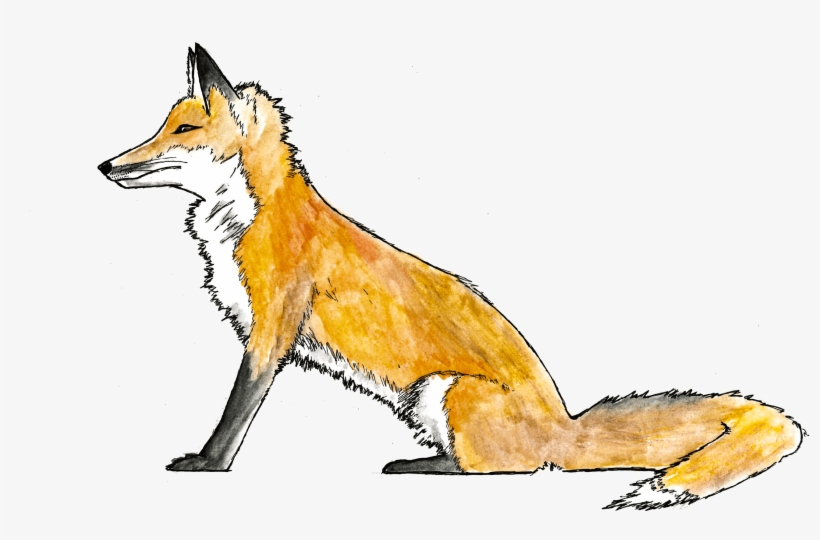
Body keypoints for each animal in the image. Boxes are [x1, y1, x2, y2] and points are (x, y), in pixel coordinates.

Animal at [98, 44, 803, 509]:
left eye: (183, 129)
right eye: (161, 125)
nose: (106, 165)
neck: (246, 216)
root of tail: (566, 424)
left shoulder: (272, 329)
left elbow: (234, 413)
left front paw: (207, 466)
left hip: (446, 392)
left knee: (507, 472)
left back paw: (421, 469)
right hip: (426, 403)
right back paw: (413, 461)